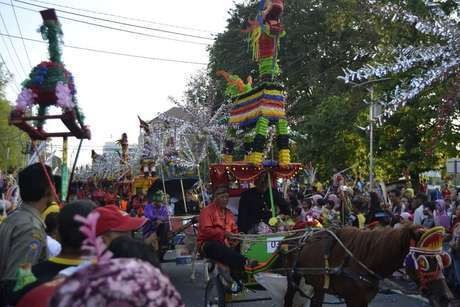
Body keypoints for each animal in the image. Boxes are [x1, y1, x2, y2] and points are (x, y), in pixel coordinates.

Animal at [282, 225, 454, 306]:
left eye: (444, 259)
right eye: (423, 262)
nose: (446, 297)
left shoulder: (364, 299)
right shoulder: (353, 299)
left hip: (318, 284)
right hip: (293, 277)